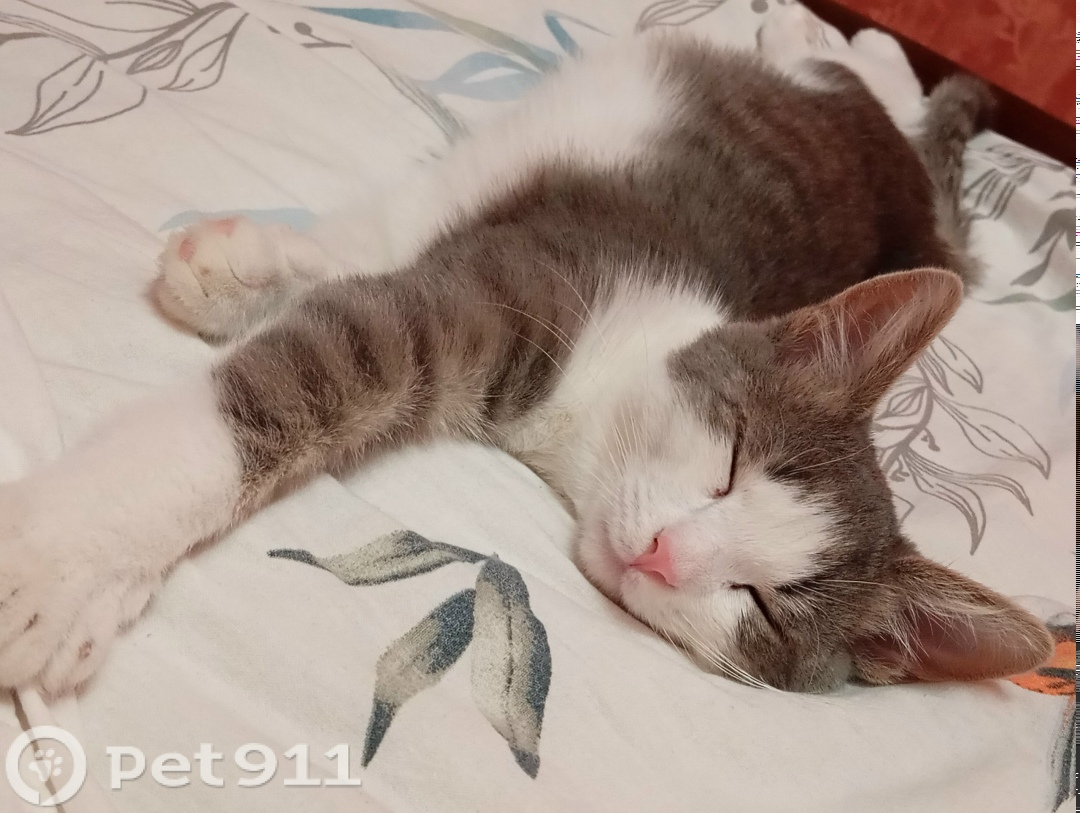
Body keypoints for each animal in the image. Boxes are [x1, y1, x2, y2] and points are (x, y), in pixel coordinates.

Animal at [0, 4, 1052, 694]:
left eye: (763, 604)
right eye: (731, 460)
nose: (668, 553)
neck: (586, 414)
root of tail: (918, 211)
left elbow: (347, 299)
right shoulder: (524, 288)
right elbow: (329, 341)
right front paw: (68, 555)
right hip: (844, 128)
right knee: (859, 80)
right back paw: (839, 39)